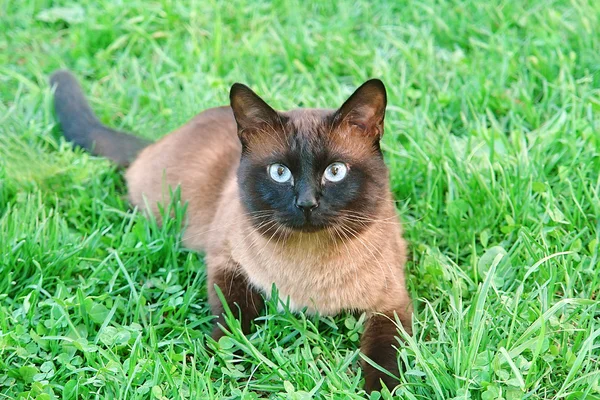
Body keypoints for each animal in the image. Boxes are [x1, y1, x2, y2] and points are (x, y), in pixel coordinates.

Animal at [49, 70, 412, 392]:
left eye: (335, 172)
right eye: (279, 172)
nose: (306, 203)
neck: (308, 271)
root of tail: (161, 141)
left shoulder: (390, 306)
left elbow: (383, 361)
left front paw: (380, 392)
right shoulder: (226, 263)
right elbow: (231, 324)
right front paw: (209, 368)